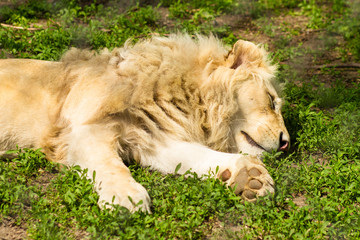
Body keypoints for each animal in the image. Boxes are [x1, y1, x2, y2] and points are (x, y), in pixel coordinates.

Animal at [0, 33, 290, 212]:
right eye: (272, 100)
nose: (286, 143)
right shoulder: (82, 129)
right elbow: (110, 165)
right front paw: (124, 198)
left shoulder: (148, 137)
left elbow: (195, 155)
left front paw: (249, 178)